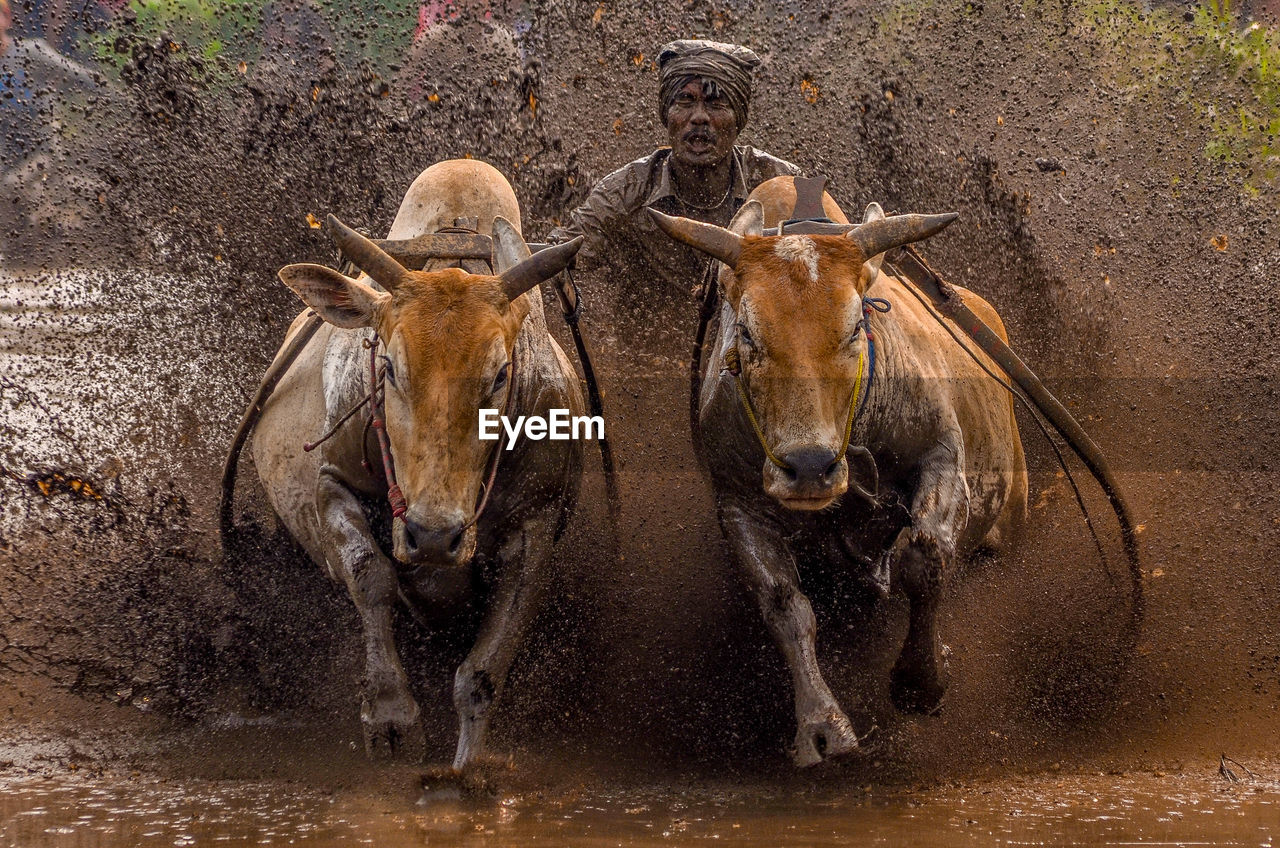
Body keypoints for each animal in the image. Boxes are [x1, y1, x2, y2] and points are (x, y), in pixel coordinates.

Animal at [245, 157, 586, 768]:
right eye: (389, 367)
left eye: (501, 374)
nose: (432, 535)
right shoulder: (331, 484)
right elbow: (371, 576)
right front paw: (390, 717)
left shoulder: (537, 523)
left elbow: (482, 672)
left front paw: (467, 767)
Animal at [650, 178, 1029, 768]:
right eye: (747, 333)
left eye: (855, 328)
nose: (809, 467)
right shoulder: (739, 505)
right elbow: (786, 606)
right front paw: (822, 726)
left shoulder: (942, 456)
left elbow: (925, 557)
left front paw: (920, 682)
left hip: (1008, 523)